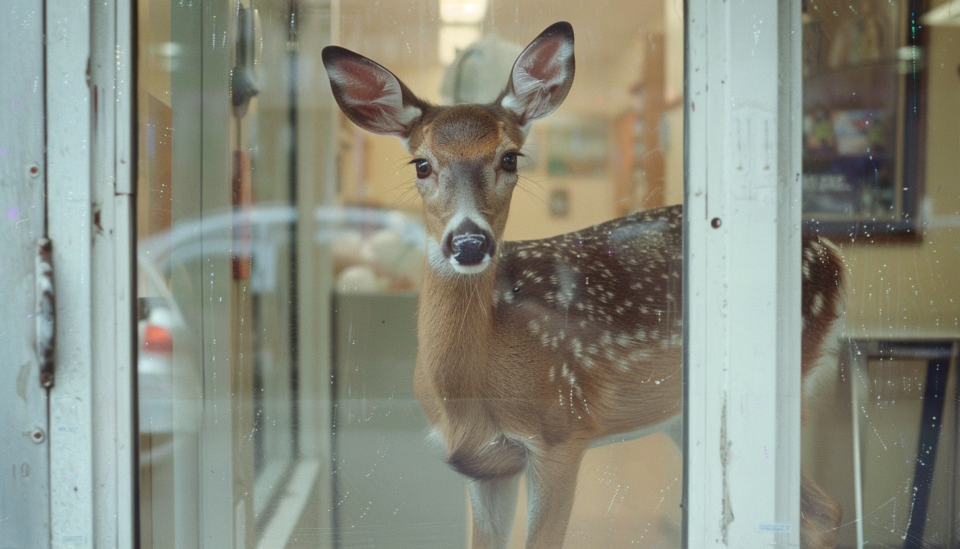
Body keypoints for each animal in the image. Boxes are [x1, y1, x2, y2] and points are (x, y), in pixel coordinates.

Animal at [322, 21, 840, 548]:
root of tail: (830, 250)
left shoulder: (561, 430)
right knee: (822, 509)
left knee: (820, 510)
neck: (473, 385)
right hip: (677, 413)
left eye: (510, 158)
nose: (469, 242)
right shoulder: (486, 463)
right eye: (422, 164)